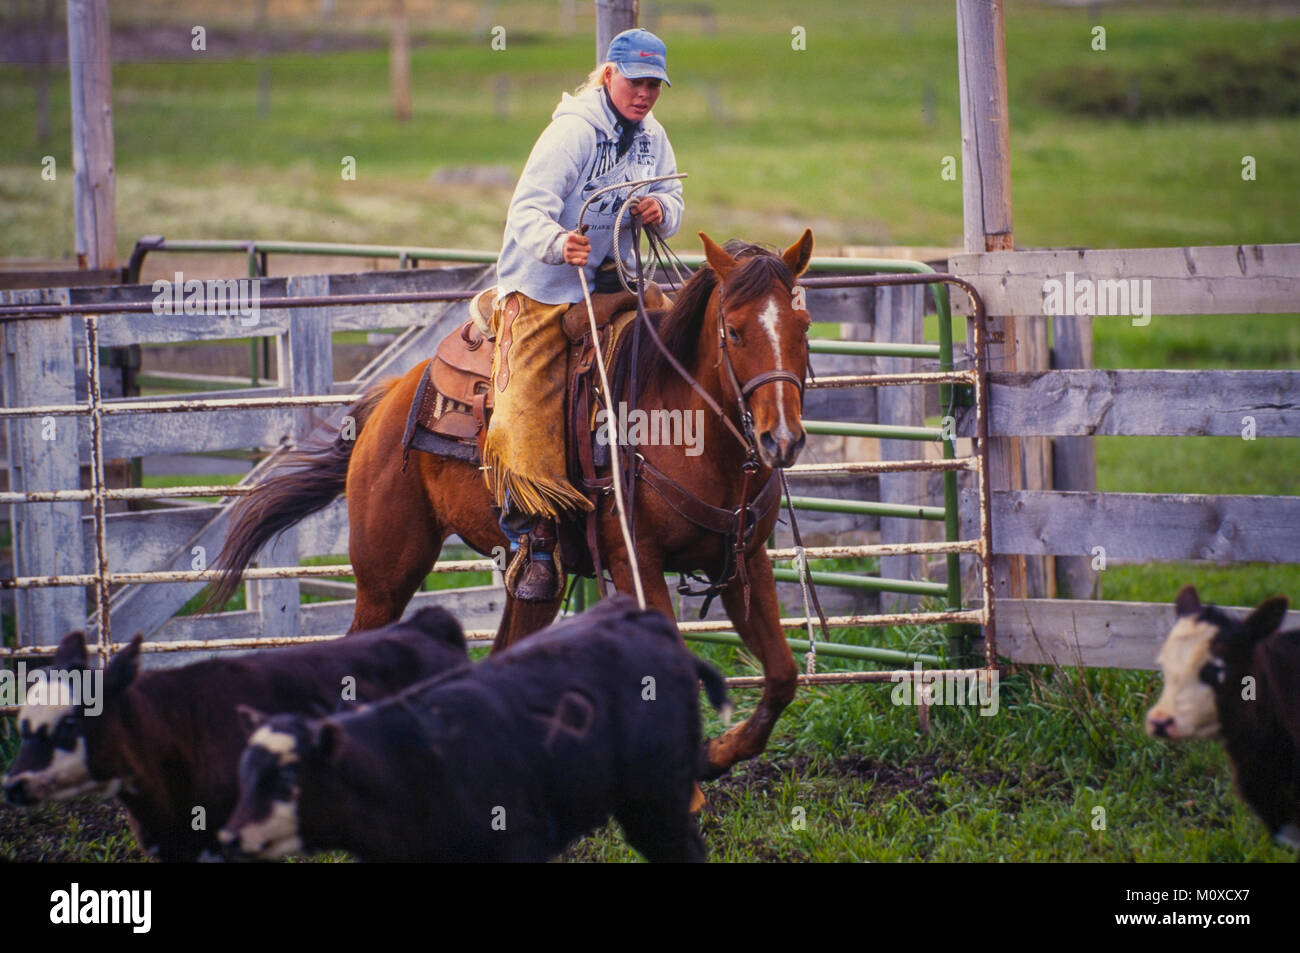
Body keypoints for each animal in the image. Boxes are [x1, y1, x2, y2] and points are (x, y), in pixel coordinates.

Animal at [206, 230, 806, 774]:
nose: (782, 438)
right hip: (385, 574)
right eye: (735, 330)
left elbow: (781, 674)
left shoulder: (745, 562)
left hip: (535, 581)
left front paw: (718, 754)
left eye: (802, 327)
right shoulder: (636, 563)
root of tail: (391, 395)